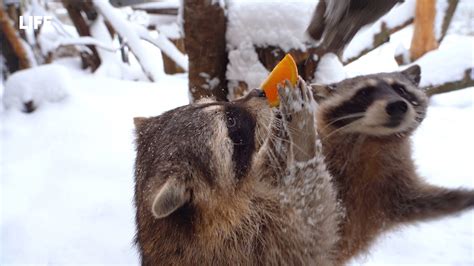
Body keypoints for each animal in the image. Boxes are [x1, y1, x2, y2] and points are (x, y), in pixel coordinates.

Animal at [133, 79, 340, 266]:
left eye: (212, 102)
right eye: (230, 122)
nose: (259, 92)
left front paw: (282, 132)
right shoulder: (250, 243)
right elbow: (313, 230)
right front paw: (303, 134)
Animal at [312, 66, 474, 264]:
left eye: (400, 89)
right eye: (363, 93)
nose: (397, 105)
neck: (373, 141)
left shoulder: (394, 190)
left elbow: (422, 202)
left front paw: (465, 197)